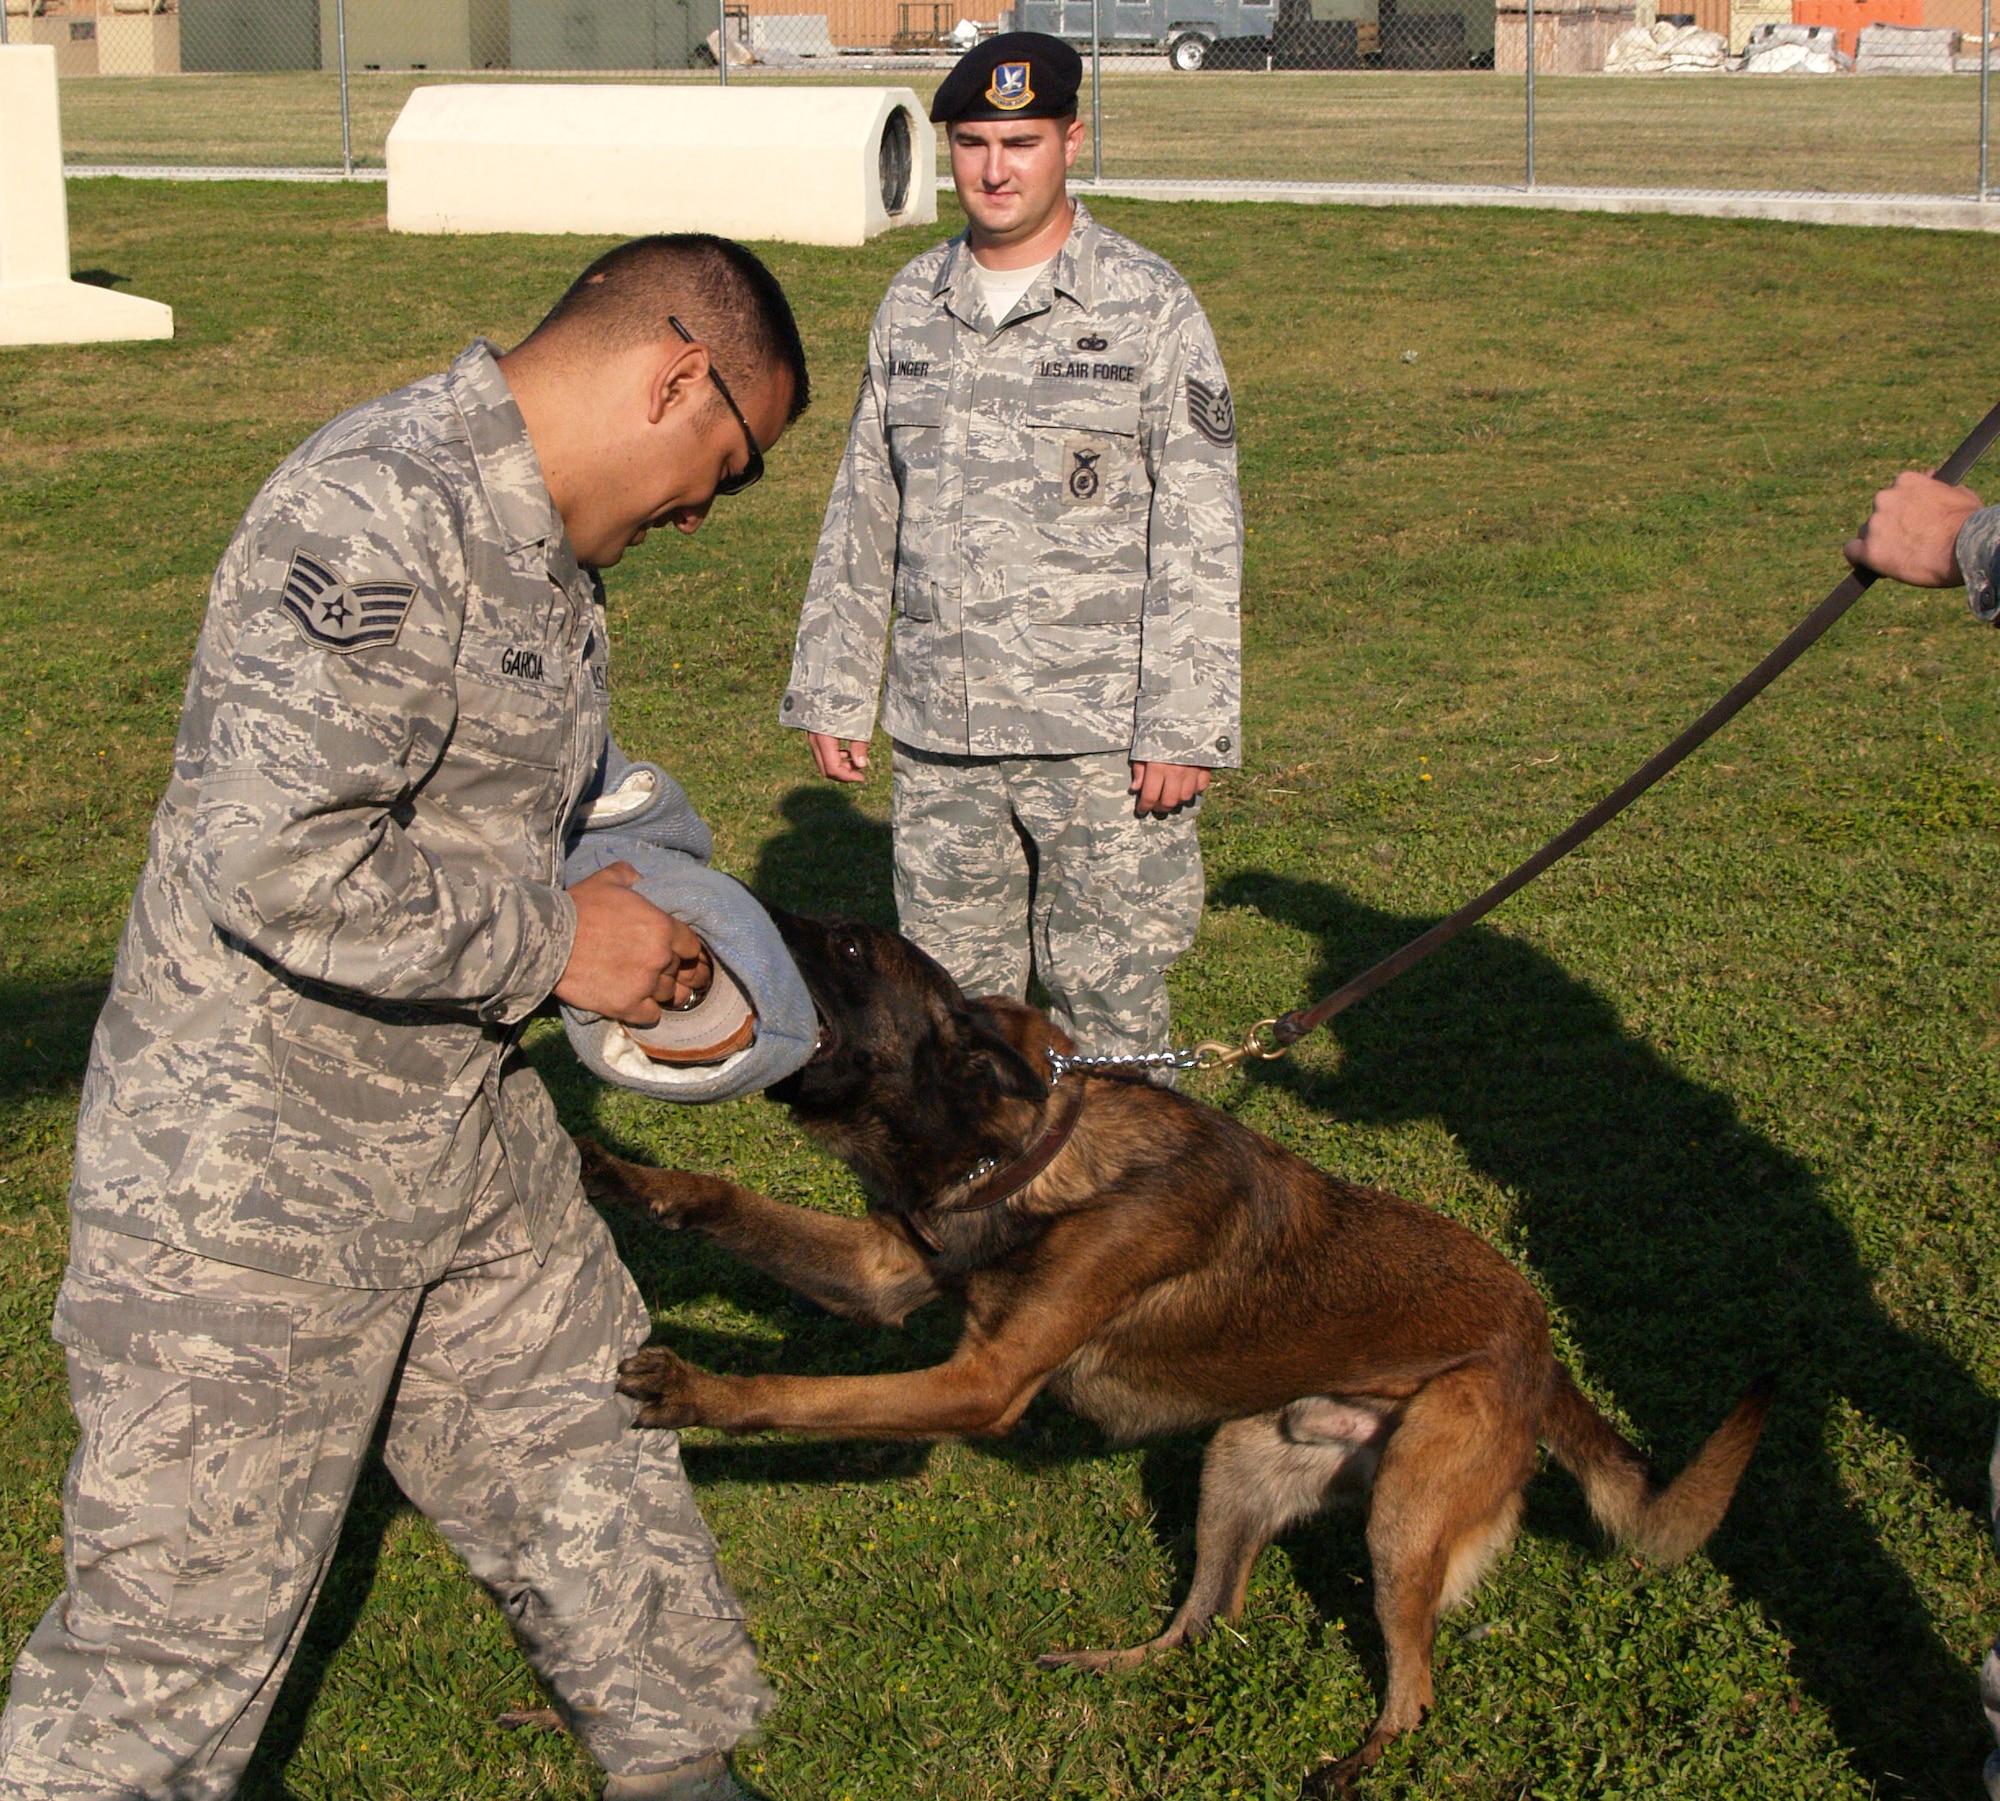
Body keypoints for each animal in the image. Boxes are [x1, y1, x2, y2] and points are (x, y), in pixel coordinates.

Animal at [584, 920, 1776, 1792]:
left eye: (840, 946)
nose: (698, 937)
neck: (1039, 1146)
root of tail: (1541, 1346)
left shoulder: (979, 1385)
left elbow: (793, 1390)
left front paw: (692, 1385)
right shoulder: (885, 1273)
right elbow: (729, 1202)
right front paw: (623, 1173)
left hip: (1404, 1518)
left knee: (1411, 1687)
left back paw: (1351, 1764)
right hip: (1236, 1462)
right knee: (1205, 1620)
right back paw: (1105, 1663)